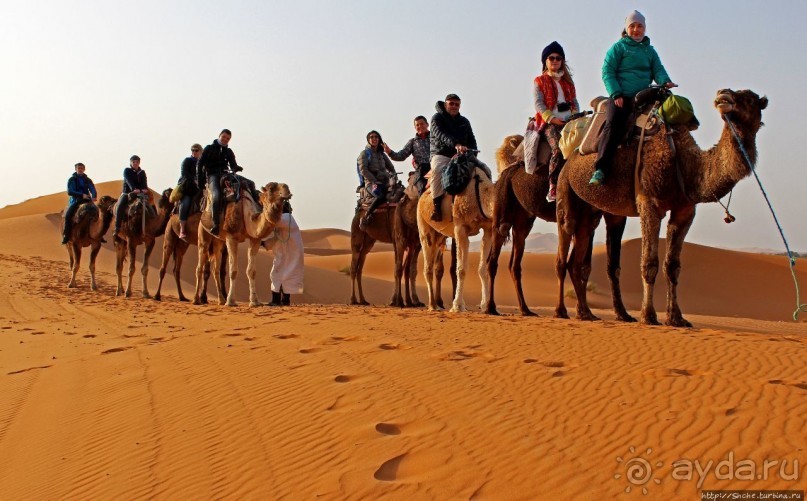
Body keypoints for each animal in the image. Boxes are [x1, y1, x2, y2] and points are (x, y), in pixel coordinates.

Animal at [420, 162, 496, 310]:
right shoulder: (460, 228)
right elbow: (461, 269)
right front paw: (457, 306)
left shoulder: (488, 229)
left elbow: (483, 269)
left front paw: (485, 306)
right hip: (423, 225)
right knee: (427, 266)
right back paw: (432, 305)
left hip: (439, 236)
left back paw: (435, 304)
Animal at [560, 88, 768, 326]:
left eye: (751, 99)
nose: (723, 96)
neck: (686, 166)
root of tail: (572, 155)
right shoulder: (649, 203)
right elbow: (650, 263)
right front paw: (649, 315)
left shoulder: (685, 211)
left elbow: (673, 266)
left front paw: (676, 317)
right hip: (566, 187)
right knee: (566, 239)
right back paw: (568, 311)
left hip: (597, 211)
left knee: (589, 255)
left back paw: (593, 312)